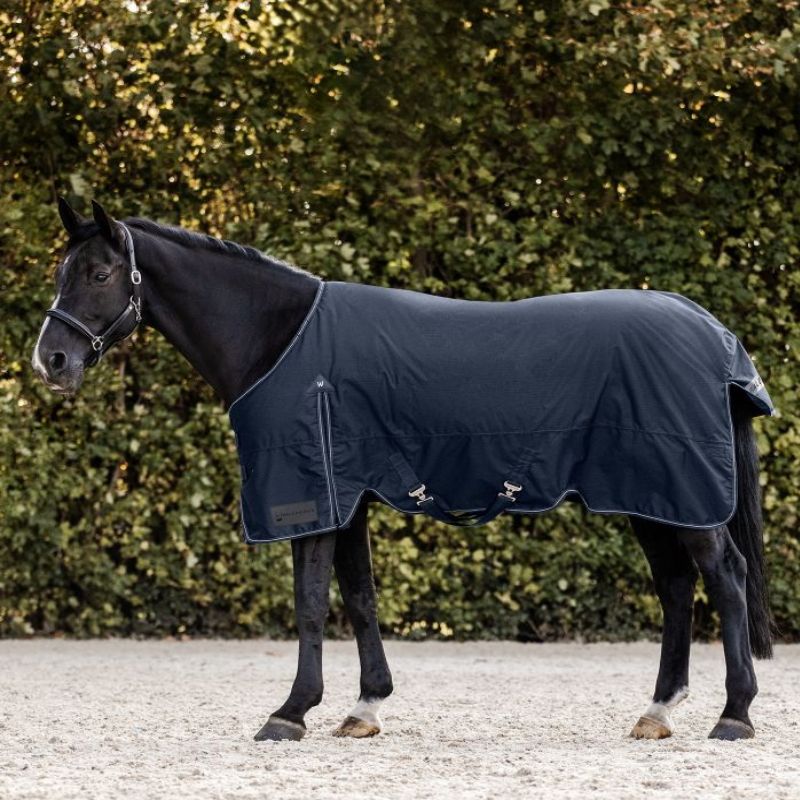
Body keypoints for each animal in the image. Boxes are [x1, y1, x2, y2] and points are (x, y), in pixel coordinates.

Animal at [32, 197, 773, 743]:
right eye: (62, 272)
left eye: (100, 275)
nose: (51, 362)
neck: (281, 338)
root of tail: (712, 333)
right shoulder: (349, 497)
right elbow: (359, 597)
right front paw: (364, 708)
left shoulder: (313, 497)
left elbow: (309, 602)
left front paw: (290, 712)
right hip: (651, 496)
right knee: (677, 587)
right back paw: (658, 712)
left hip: (681, 493)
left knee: (725, 577)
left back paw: (734, 715)